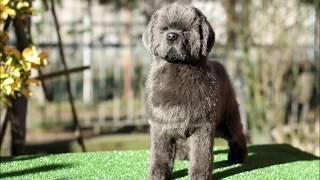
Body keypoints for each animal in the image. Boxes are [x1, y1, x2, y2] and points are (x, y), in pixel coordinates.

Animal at [142, 2, 248, 180]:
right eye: (164, 29)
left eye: (185, 30)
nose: (172, 36)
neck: (178, 68)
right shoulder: (161, 124)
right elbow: (160, 153)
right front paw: (158, 173)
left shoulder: (202, 125)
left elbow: (201, 154)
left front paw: (199, 174)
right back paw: (184, 154)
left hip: (226, 121)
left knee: (237, 135)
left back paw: (239, 156)